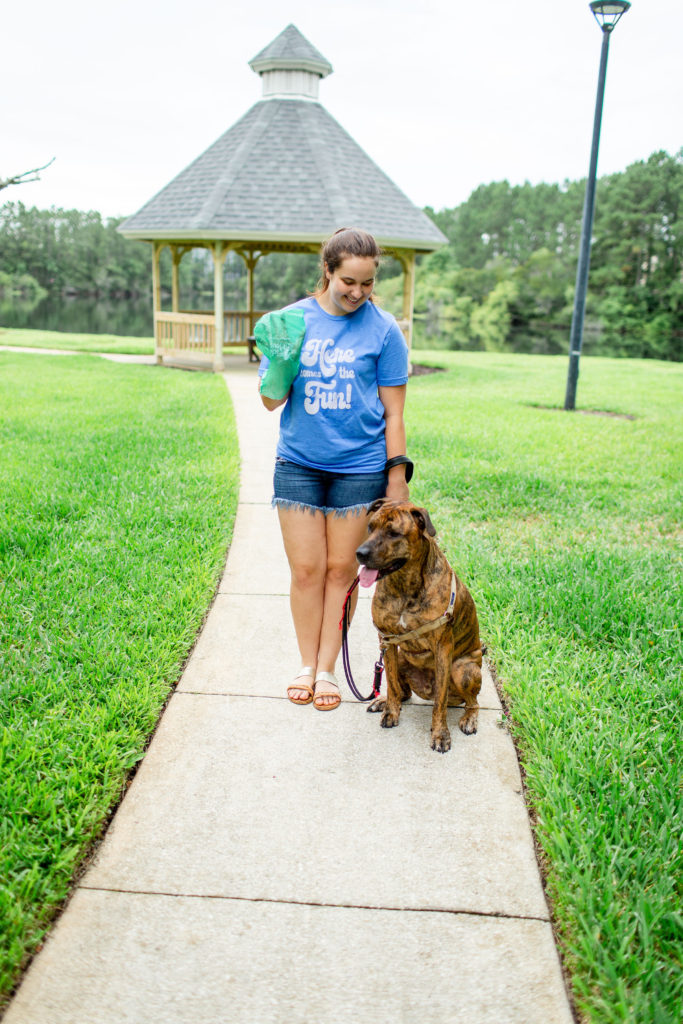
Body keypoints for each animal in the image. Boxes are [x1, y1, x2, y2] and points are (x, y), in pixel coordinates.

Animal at [356, 501, 483, 753]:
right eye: (370, 527)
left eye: (393, 533)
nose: (360, 554)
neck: (404, 584)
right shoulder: (387, 641)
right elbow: (391, 683)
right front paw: (391, 712)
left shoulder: (443, 647)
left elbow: (440, 704)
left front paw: (440, 734)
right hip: (401, 658)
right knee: (400, 690)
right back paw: (384, 700)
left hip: (463, 669)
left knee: (472, 702)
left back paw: (469, 719)